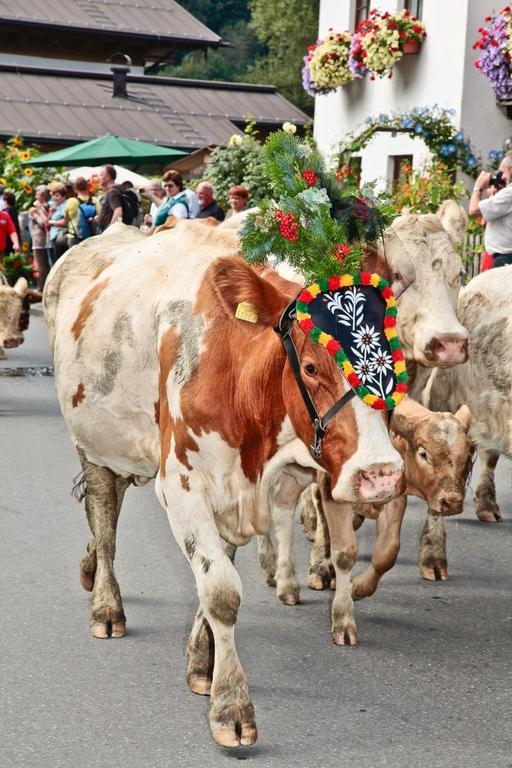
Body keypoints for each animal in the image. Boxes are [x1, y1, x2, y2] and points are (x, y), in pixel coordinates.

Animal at [45, 218, 404, 752]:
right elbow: (220, 591)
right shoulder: (182, 484)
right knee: (104, 514)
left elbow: (218, 575)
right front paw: (232, 707)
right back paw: (106, 605)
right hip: (91, 442)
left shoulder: (244, 491)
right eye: (312, 366)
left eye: (396, 361)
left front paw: (202, 662)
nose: (380, 473)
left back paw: (90, 569)